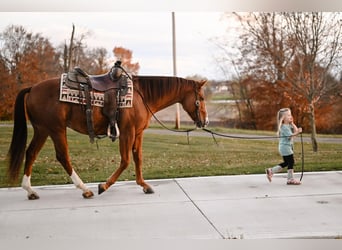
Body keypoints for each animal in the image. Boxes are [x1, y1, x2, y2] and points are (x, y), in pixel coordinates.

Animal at [6, 73, 208, 199]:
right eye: (202, 98)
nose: (205, 122)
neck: (142, 96)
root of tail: (32, 88)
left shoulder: (138, 133)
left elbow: (138, 158)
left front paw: (144, 184)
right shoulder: (127, 132)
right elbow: (126, 160)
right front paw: (103, 186)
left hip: (42, 130)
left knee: (31, 153)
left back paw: (30, 191)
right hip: (56, 129)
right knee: (62, 156)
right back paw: (85, 189)